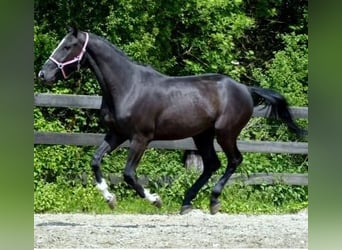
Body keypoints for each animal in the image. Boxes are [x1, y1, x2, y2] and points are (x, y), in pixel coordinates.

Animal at [37, 27, 304, 215]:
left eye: (68, 46)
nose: (43, 74)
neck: (127, 86)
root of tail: (245, 89)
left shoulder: (141, 138)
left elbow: (129, 174)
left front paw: (155, 200)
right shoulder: (116, 134)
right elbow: (95, 161)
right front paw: (110, 199)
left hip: (225, 133)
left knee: (234, 160)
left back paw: (213, 200)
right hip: (202, 134)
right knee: (212, 164)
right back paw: (187, 203)